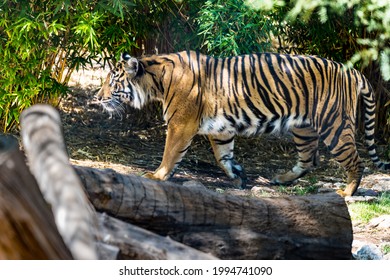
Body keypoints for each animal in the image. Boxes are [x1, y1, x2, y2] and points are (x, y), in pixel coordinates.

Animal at [95, 51, 390, 198]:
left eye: (112, 81)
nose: (97, 97)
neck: (155, 80)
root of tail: (352, 70)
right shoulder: (220, 129)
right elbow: (222, 156)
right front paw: (238, 175)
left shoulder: (181, 124)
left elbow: (170, 154)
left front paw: (157, 176)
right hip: (303, 128)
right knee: (309, 160)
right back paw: (281, 178)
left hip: (334, 126)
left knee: (356, 161)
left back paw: (346, 192)